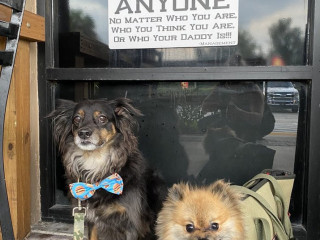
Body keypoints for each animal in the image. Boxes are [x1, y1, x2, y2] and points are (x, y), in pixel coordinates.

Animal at [49, 98, 166, 240]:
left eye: (102, 118)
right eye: (77, 118)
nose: (83, 133)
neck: (96, 162)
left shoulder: (131, 223)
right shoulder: (91, 218)